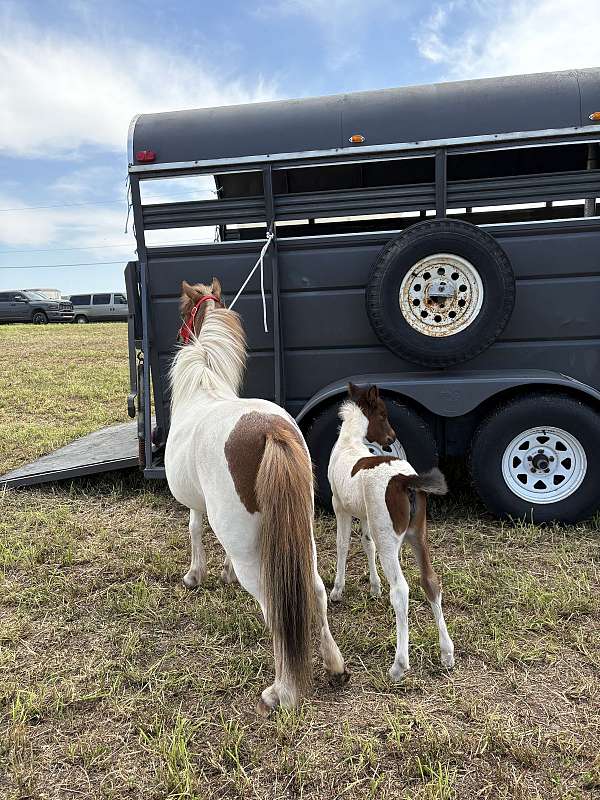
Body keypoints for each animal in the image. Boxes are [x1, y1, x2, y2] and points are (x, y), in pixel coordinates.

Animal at [165, 278, 348, 714]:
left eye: (184, 313)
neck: (204, 388)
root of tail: (269, 429)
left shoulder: (196, 504)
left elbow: (194, 530)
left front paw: (195, 575)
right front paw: (222, 572)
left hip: (258, 554)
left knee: (275, 606)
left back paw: (281, 692)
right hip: (302, 533)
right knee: (316, 590)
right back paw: (335, 665)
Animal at [327, 382, 455, 681]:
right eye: (384, 415)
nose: (391, 437)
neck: (349, 444)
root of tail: (405, 480)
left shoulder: (339, 505)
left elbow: (342, 544)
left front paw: (337, 590)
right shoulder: (366, 515)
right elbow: (366, 543)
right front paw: (374, 587)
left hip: (390, 539)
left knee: (401, 590)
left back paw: (399, 664)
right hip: (418, 535)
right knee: (431, 581)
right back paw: (447, 653)